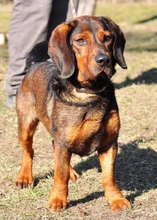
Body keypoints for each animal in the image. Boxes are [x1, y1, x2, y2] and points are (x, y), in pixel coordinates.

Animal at [15, 15, 130, 211]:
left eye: (108, 38)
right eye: (80, 40)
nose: (104, 60)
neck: (91, 92)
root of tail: (34, 65)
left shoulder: (109, 143)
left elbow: (109, 177)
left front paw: (116, 199)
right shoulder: (63, 141)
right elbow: (60, 176)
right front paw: (57, 200)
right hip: (26, 125)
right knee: (28, 151)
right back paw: (24, 176)